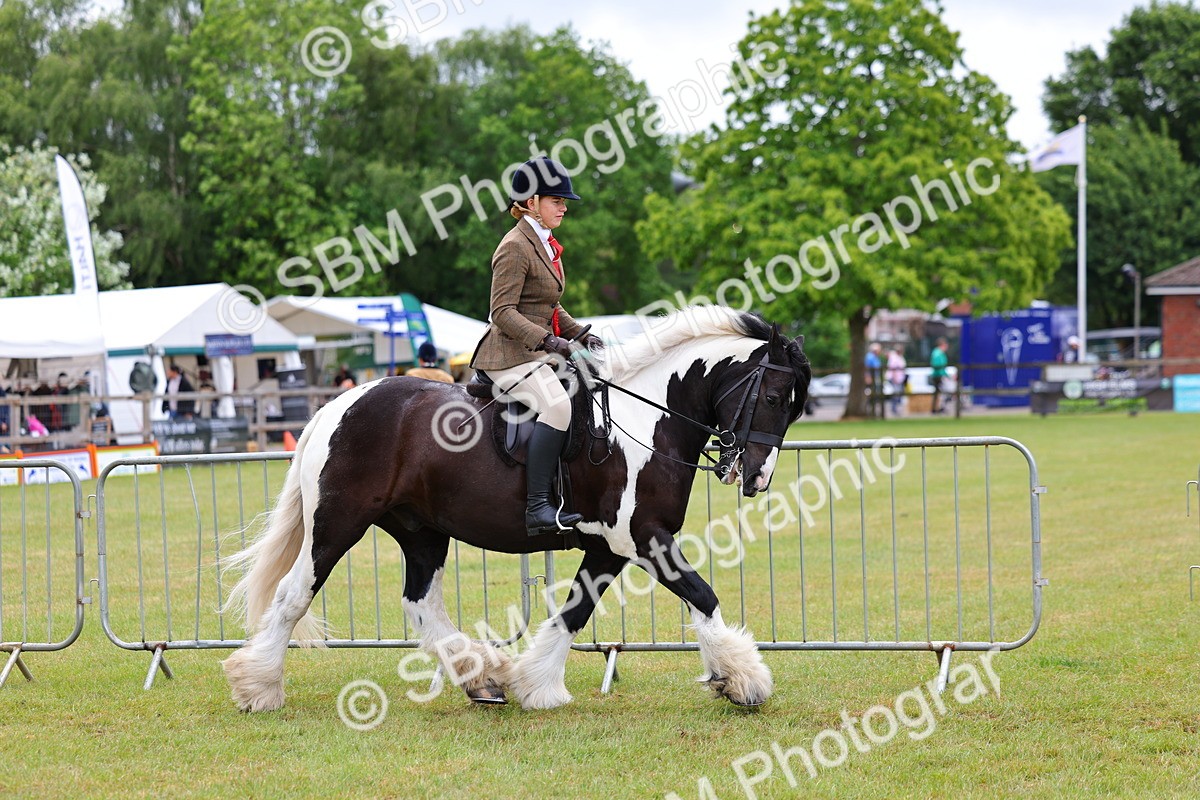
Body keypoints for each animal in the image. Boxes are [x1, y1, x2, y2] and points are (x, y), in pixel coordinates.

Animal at [221, 305, 811, 711]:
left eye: (794, 409)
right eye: (774, 398)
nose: (756, 478)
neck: (646, 422)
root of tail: (337, 406)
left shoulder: (609, 547)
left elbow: (574, 612)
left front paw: (536, 685)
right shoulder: (643, 537)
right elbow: (702, 595)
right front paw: (742, 680)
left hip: (421, 530)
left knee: (421, 603)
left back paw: (483, 677)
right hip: (338, 522)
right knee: (294, 594)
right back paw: (259, 688)